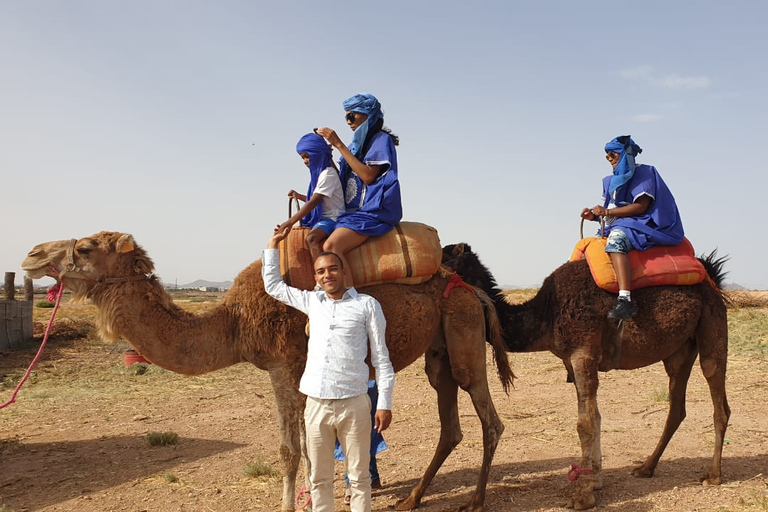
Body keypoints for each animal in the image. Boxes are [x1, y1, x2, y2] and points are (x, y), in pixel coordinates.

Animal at [22, 233, 516, 512]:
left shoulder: (284, 368)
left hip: (463, 333)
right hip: (439, 352)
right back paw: (411, 499)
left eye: (85, 247)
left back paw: (474, 501)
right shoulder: (291, 374)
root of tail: (470, 288)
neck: (235, 321)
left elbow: (290, 451)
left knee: (488, 415)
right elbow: (307, 451)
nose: (30, 255)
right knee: (450, 423)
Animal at [440, 242, 728, 510]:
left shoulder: (583, 352)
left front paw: (583, 496)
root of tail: (711, 277)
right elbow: (596, 418)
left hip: (713, 325)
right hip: (679, 351)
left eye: (443, 256)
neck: (546, 314)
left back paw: (713, 475)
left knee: (718, 397)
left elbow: (585, 423)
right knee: (677, 407)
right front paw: (596, 481)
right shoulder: (571, 359)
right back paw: (646, 467)